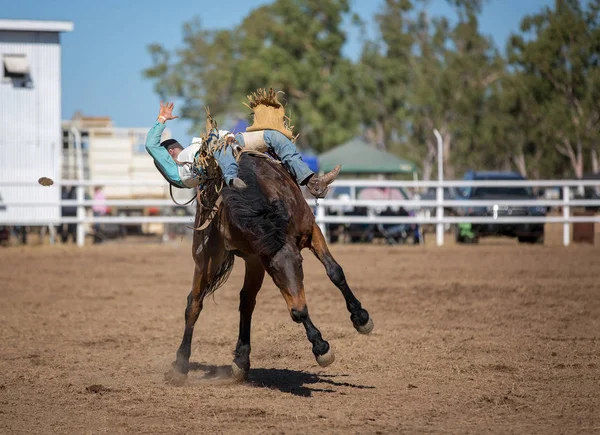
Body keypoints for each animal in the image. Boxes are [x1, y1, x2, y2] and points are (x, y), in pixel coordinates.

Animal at [163, 151, 370, 384]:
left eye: (300, 263)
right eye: (274, 271)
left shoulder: (311, 231)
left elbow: (335, 272)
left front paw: (361, 317)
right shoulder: (262, 259)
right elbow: (299, 311)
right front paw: (320, 347)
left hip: (251, 262)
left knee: (246, 301)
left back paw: (240, 361)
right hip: (207, 257)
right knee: (195, 304)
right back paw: (181, 365)